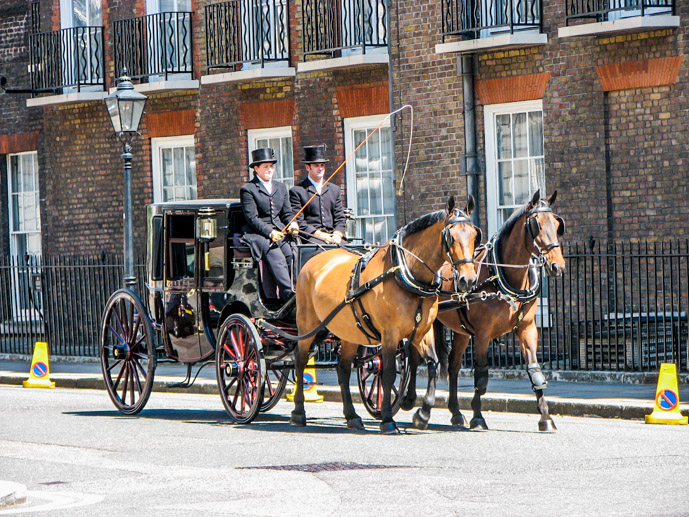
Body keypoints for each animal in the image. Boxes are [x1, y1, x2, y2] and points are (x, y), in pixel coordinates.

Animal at [292, 194, 482, 432]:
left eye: (475, 236)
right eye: (451, 237)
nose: (468, 280)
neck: (406, 274)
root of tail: (312, 262)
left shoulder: (423, 331)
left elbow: (432, 364)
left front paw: (423, 414)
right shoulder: (390, 333)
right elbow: (390, 372)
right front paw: (388, 419)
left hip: (349, 332)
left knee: (343, 368)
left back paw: (352, 416)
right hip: (306, 325)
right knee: (300, 360)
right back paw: (299, 412)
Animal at [400, 191, 568, 430]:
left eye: (557, 224)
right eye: (537, 224)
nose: (558, 266)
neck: (501, 275)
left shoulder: (527, 328)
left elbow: (534, 371)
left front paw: (545, 417)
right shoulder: (482, 333)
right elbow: (481, 375)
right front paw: (478, 416)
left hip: (460, 330)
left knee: (453, 366)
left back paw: (455, 412)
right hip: (425, 323)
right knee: (414, 355)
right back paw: (409, 399)